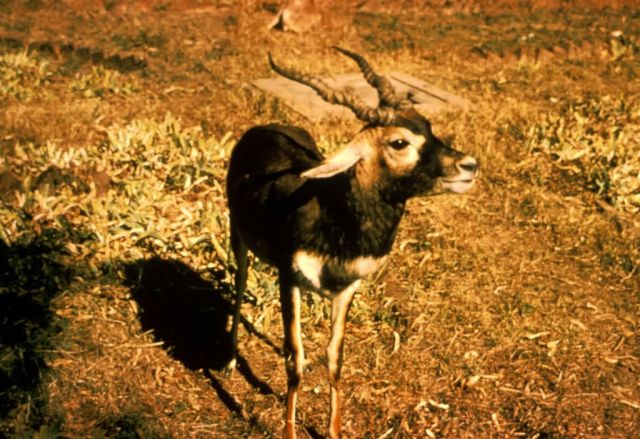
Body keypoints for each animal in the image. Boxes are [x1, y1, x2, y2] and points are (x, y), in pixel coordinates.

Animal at [225, 46, 476, 438]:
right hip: (238, 238)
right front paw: (289, 430)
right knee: (237, 286)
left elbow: (333, 357)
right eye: (399, 142)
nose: (469, 165)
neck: (336, 219)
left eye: (429, 128)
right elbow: (295, 358)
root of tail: (265, 127)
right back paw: (230, 361)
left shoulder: (347, 288)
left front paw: (333, 430)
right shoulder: (288, 280)